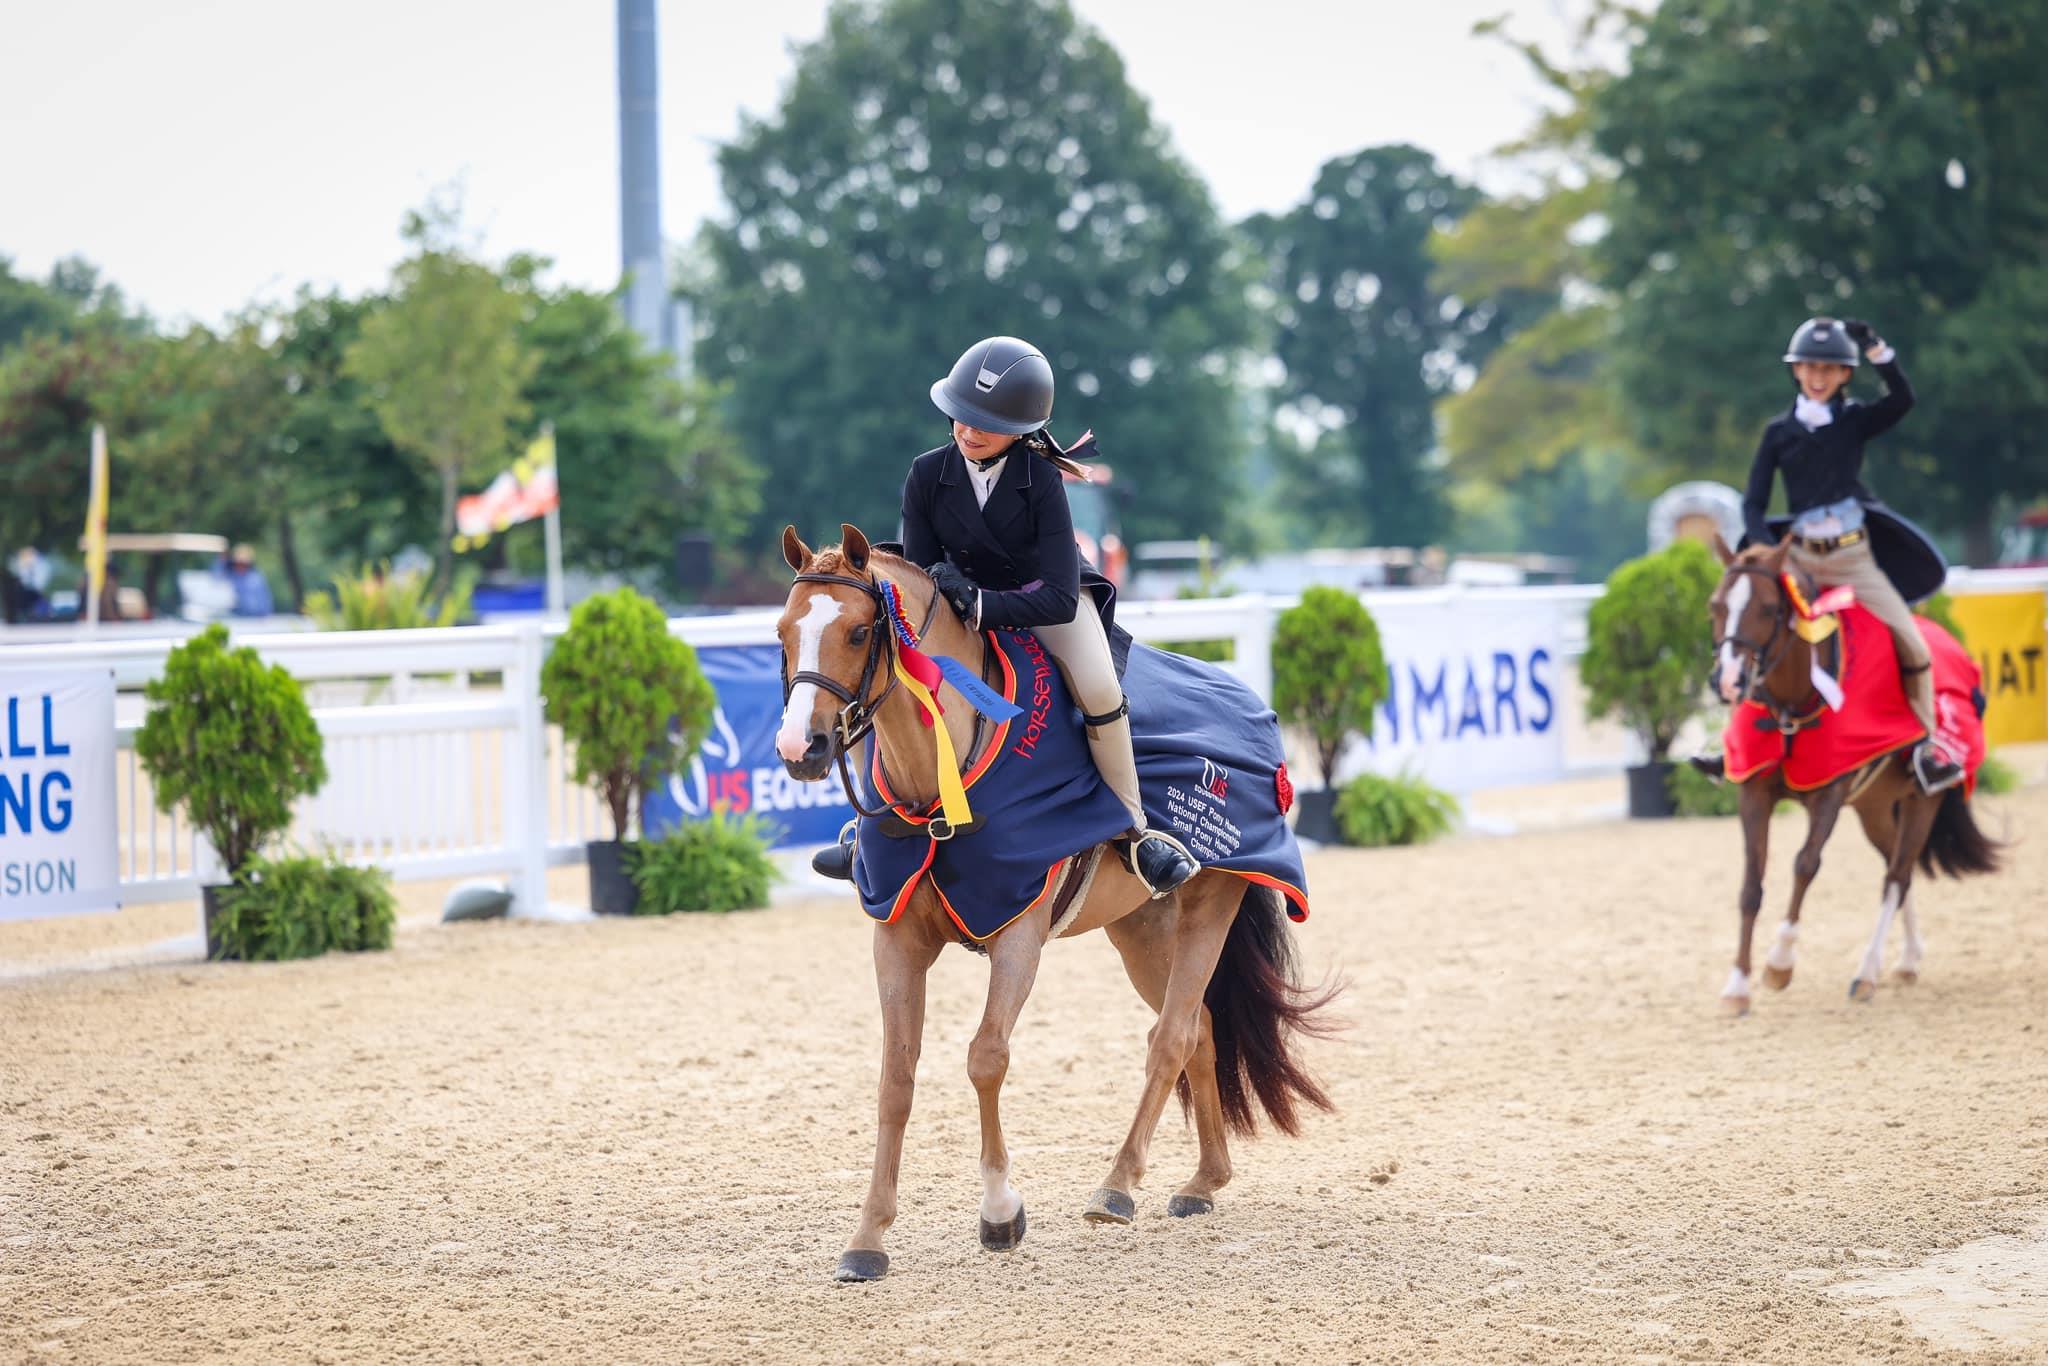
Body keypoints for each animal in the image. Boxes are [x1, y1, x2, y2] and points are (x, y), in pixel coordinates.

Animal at [775, 523, 1339, 1282]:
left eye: (861, 632)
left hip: (1209, 903)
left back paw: (1118, 1187)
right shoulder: (895, 937)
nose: (799, 748)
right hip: (1141, 928)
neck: (941, 776)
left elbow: (986, 1058)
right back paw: (1202, 1182)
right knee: (1197, 1029)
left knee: (1170, 1035)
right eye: (782, 633)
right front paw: (868, 1239)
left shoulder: (1017, 934)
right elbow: (895, 1080)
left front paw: (999, 1212)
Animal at [1707, 534, 1999, 1016]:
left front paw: (1779, 964)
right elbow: (1752, 882)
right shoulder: (1754, 794)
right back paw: (1907, 960)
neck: (1791, 706)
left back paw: (1867, 972)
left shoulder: (1829, 793)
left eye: (1767, 608)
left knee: (1896, 875)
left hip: (1922, 799)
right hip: (1874, 806)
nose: (1728, 680)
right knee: (1899, 870)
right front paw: (1736, 987)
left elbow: (1805, 865)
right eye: (1715, 605)